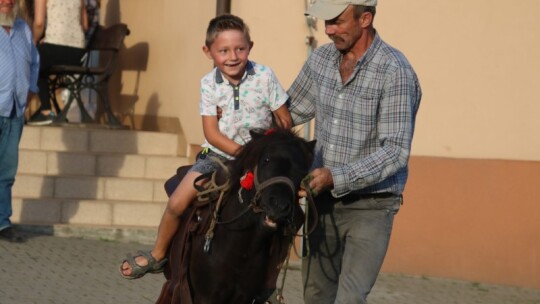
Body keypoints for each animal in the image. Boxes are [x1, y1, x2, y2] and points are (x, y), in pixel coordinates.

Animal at [155, 128, 316, 304]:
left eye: (303, 170)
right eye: (266, 159)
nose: (279, 206)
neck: (241, 250)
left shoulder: (243, 298)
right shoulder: (203, 296)